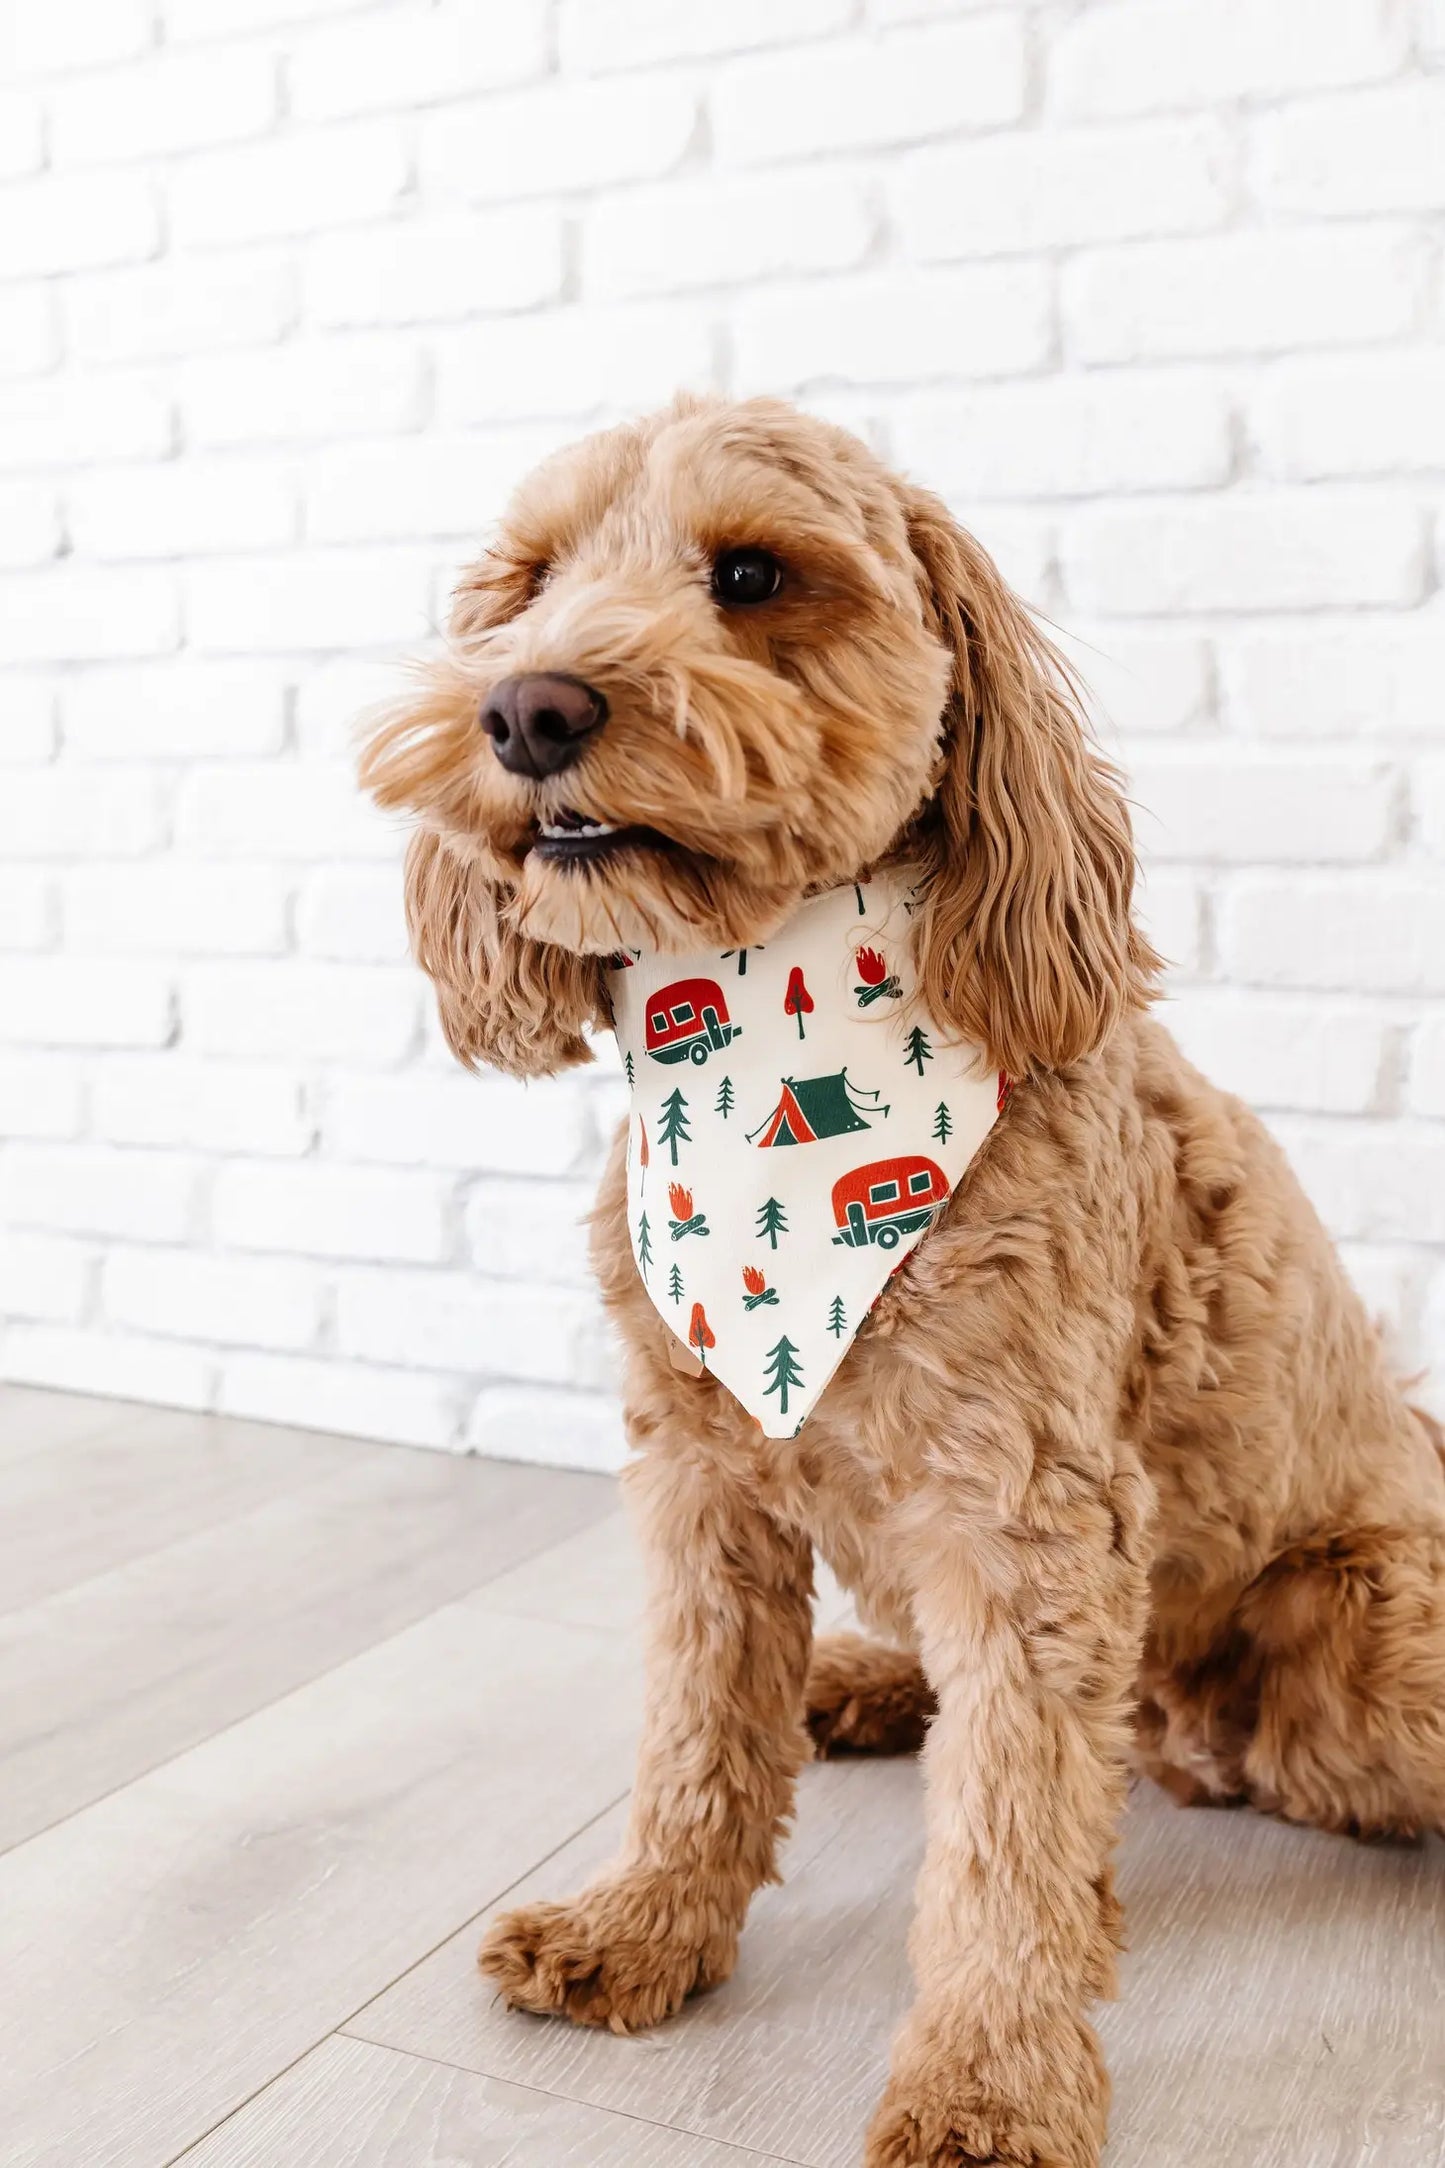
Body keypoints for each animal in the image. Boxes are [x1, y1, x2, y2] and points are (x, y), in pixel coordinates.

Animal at [368, 398, 1445, 2159]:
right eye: (527, 585)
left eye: (749, 574)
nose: (527, 708)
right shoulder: (700, 1481)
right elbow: (697, 1733)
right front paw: (642, 1928)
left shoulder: (1029, 1523)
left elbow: (1010, 1842)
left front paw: (987, 2084)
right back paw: (862, 1684)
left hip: (1351, 1641)